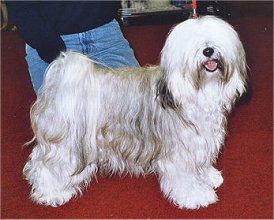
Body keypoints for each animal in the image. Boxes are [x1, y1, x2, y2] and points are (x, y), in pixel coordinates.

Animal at [24, 15, 246, 208]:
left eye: (215, 38)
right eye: (193, 42)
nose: (208, 51)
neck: (197, 92)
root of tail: (61, 80)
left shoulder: (201, 142)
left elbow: (201, 162)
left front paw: (208, 176)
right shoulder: (180, 151)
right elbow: (185, 176)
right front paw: (195, 196)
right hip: (66, 141)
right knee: (48, 164)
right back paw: (52, 193)